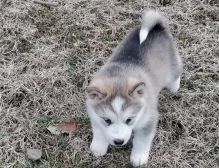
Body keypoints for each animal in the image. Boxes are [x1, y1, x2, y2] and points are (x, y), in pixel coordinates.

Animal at [86, 9, 182, 167]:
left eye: (129, 120)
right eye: (107, 120)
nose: (118, 142)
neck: (119, 76)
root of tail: (157, 28)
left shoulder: (149, 119)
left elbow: (141, 140)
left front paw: (138, 158)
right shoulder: (94, 114)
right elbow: (99, 130)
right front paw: (98, 147)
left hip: (172, 65)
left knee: (177, 71)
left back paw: (175, 87)